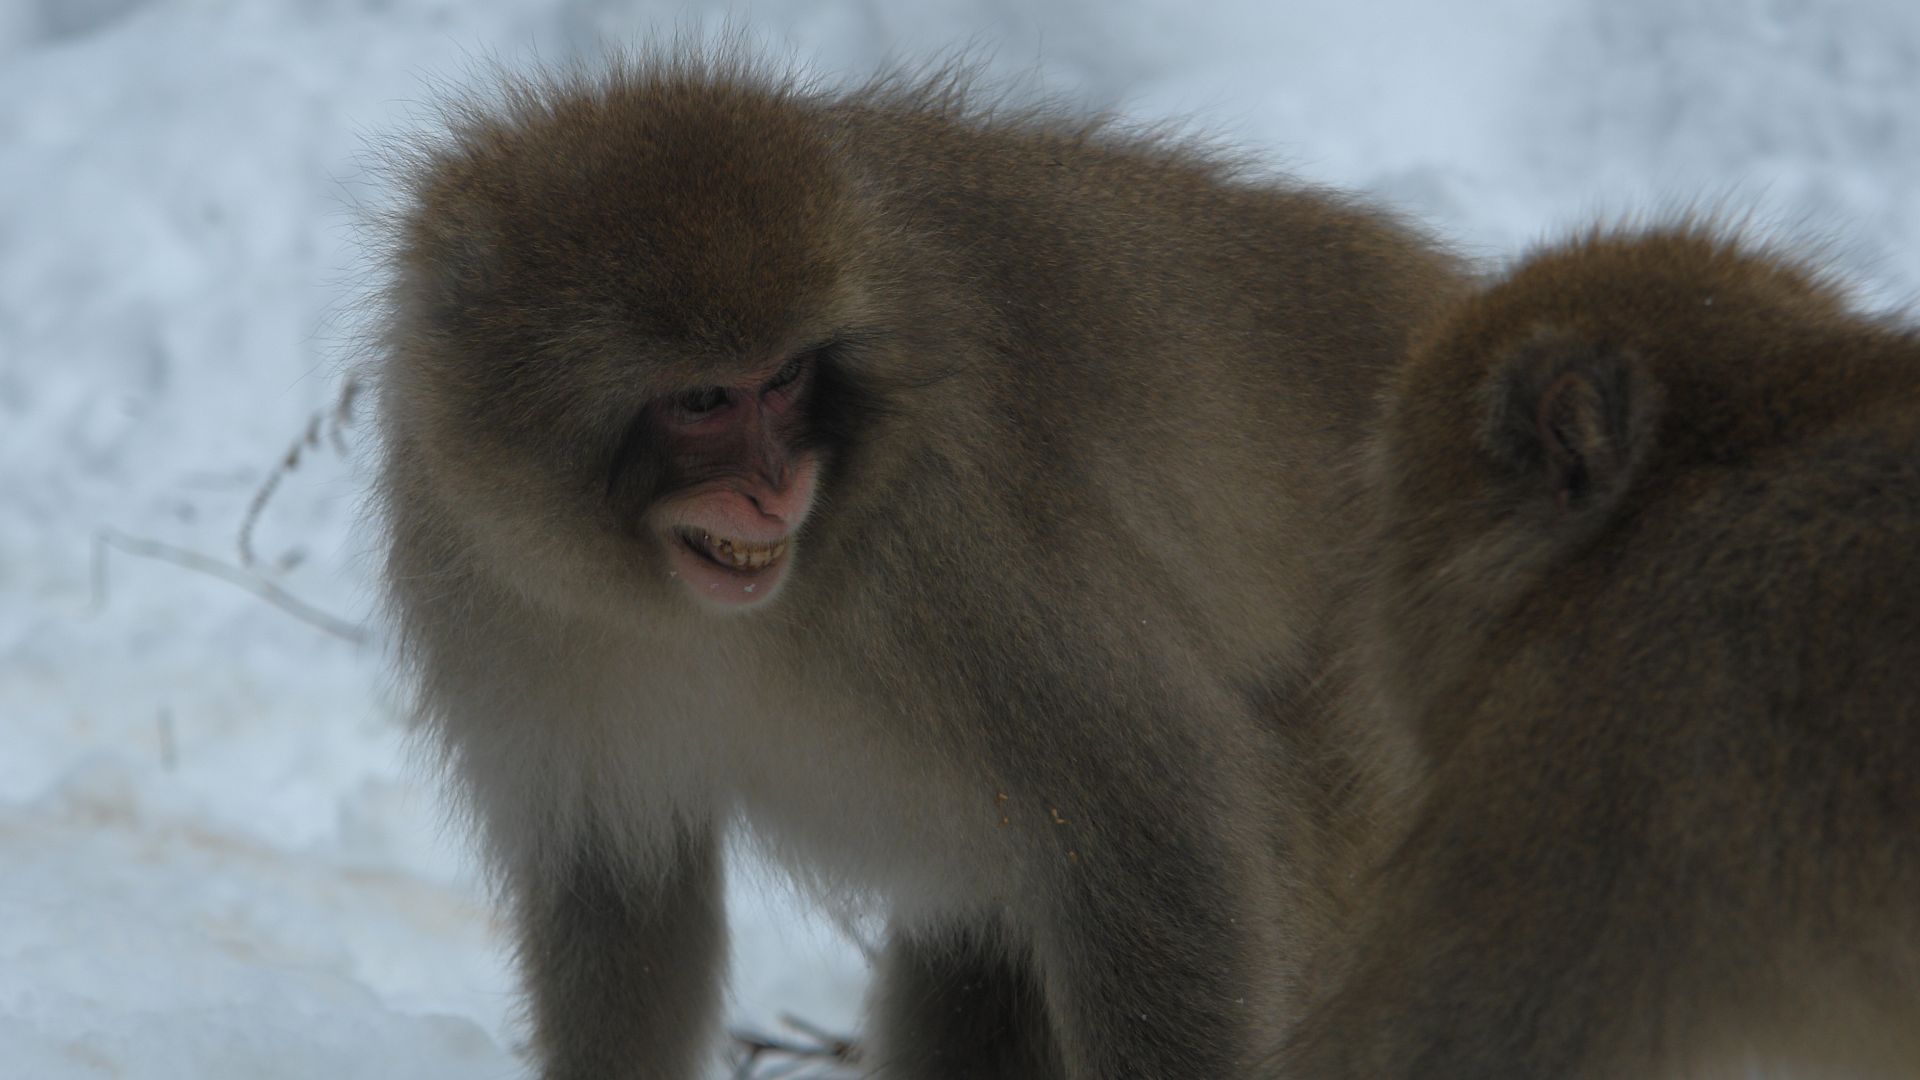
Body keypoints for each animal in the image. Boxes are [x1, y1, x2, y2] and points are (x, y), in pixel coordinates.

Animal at [366, 51, 1464, 1079]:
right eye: (704, 400)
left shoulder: (952, 555)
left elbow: (1155, 825)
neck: (695, 612)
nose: (775, 487)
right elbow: (619, 891)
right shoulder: (491, 585)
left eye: (785, 378)